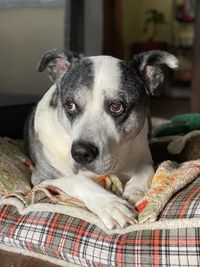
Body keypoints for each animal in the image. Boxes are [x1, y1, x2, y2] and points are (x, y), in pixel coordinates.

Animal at [25, 49, 178, 229]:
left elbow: (145, 171)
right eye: (70, 105)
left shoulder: (144, 158)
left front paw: (135, 191)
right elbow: (78, 180)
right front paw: (111, 205)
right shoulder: (43, 177)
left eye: (116, 107)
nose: (81, 153)